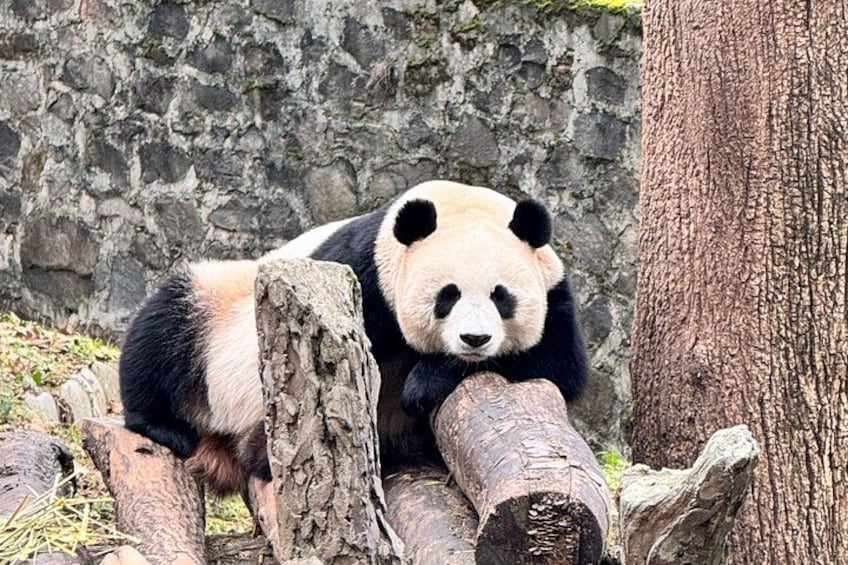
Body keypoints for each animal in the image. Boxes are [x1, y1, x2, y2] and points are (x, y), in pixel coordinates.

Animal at [119, 180, 588, 495]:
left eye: (501, 296)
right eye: (448, 295)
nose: (475, 339)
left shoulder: (554, 293)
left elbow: (557, 370)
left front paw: (427, 380)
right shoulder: (358, 272)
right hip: (220, 312)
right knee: (163, 328)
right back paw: (166, 426)